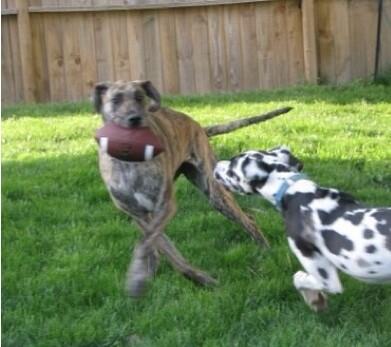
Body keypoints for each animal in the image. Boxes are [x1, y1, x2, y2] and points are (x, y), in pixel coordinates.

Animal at [93, 79, 292, 296]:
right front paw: (147, 275)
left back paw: (266, 249)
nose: (134, 119)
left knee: (248, 219)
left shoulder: (165, 206)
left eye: (139, 97)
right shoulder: (139, 215)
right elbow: (159, 246)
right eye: (115, 99)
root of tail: (199, 126)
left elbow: (151, 244)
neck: (130, 163)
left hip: (214, 191)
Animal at [214, 147, 391, 312]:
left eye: (231, 169)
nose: (216, 165)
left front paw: (315, 300)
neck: (293, 190)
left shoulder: (327, 280)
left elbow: (298, 277)